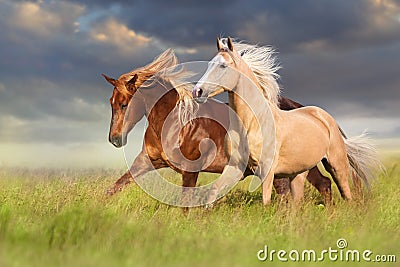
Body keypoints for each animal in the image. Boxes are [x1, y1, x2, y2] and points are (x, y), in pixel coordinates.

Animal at [102, 49, 332, 206]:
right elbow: (115, 187)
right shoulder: (146, 162)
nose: (115, 139)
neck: (176, 123)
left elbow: (186, 202)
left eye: (124, 104)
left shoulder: (190, 170)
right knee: (323, 183)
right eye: (111, 103)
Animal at [191, 37, 382, 205]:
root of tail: (326, 118)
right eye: (209, 64)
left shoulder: (267, 171)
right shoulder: (235, 167)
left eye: (223, 66)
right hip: (299, 173)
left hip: (336, 164)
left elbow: (266, 200)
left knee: (345, 193)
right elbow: (214, 190)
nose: (197, 91)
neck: (252, 124)